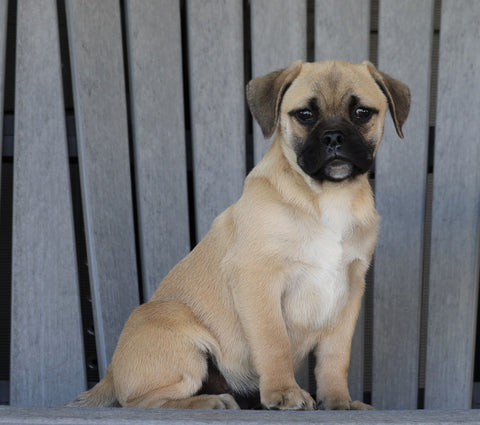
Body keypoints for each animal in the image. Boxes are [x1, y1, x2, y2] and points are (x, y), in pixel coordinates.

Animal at [69, 59, 410, 410]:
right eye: (304, 114)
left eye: (362, 113)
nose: (333, 137)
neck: (327, 196)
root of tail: (110, 374)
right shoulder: (258, 277)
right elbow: (273, 341)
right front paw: (284, 392)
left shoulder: (348, 292)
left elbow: (335, 357)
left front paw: (339, 401)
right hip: (179, 334)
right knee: (143, 402)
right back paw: (209, 403)